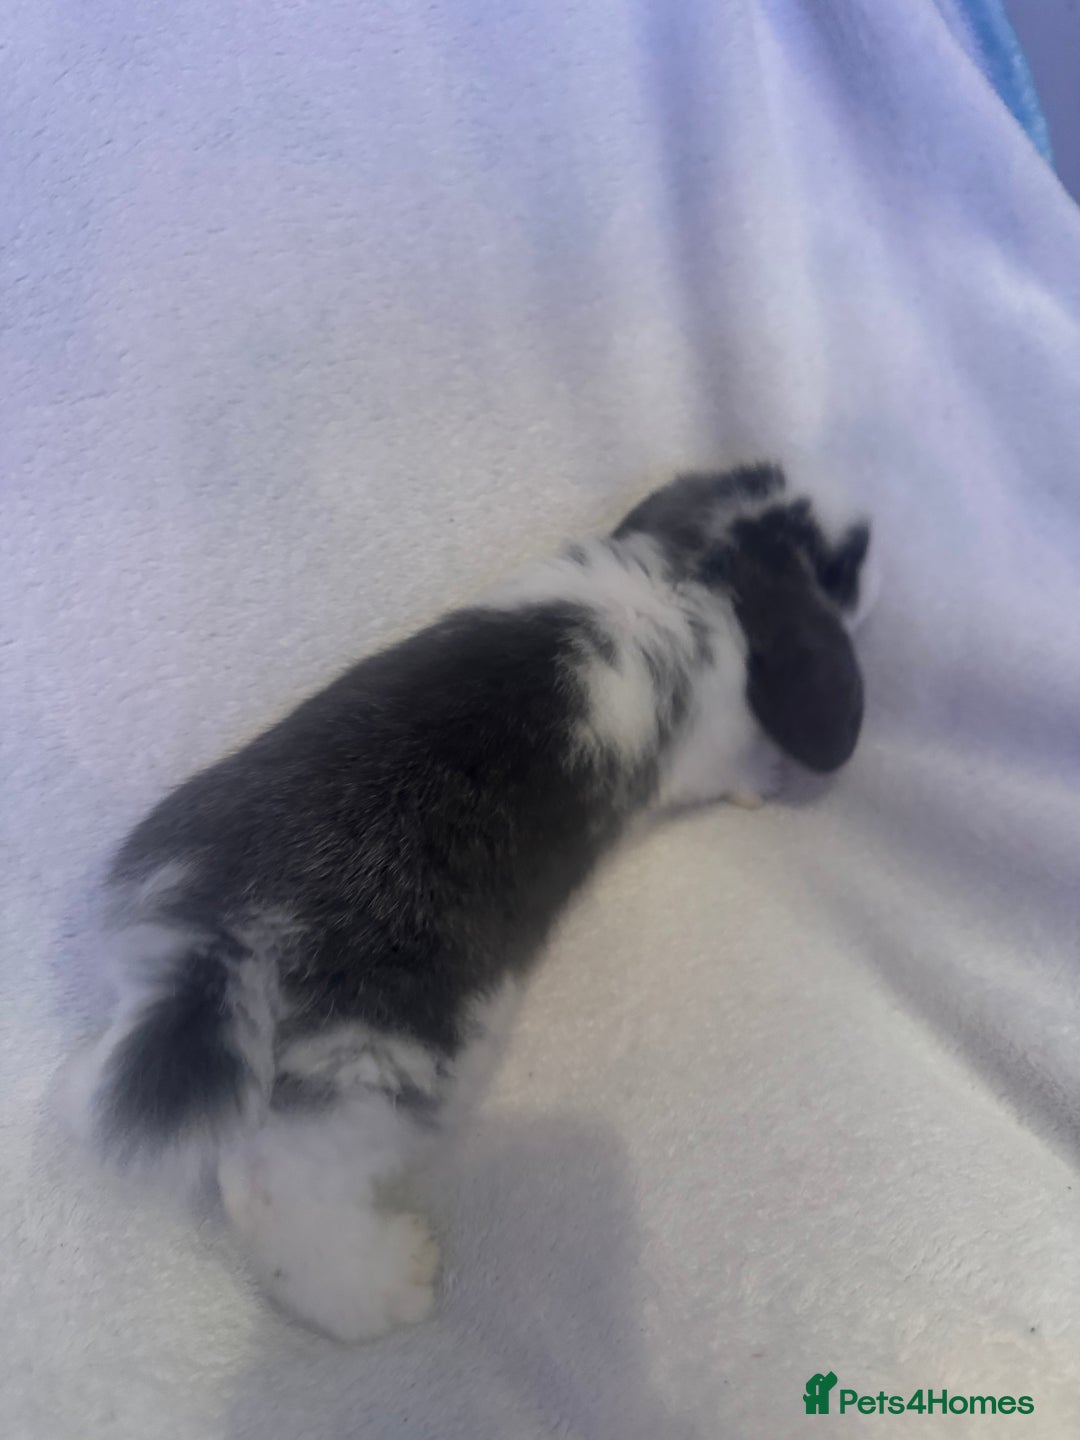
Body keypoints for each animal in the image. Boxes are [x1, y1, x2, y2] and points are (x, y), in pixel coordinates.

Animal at [68, 461, 875, 1341]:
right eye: (845, 561)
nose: (875, 532)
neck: (689, 565)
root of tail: (227, 928)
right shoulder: (708, 747)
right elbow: (731, 768)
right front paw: (766, 783)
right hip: (382, 1064)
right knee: (270, 1186)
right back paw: (390, 1284)